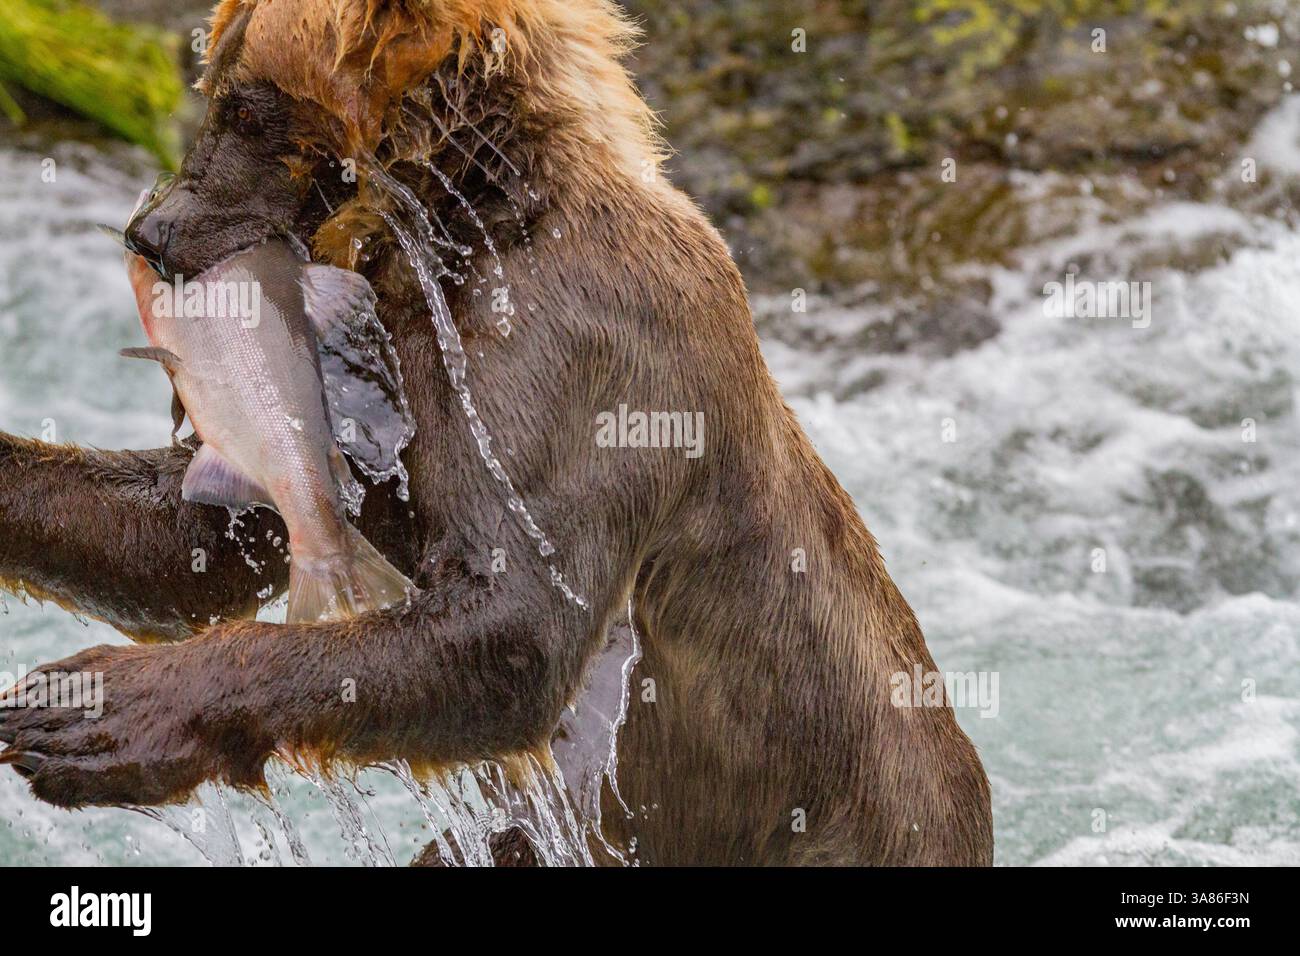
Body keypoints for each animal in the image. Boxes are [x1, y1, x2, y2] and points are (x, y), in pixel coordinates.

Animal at [0, 0, 992, 865]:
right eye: (214, 84)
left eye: (249, 107)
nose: (152, 229)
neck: (473, 225)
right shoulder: (383, 389)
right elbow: (194, 539)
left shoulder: (580, 358)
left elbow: (515, 624)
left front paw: (93, 709)